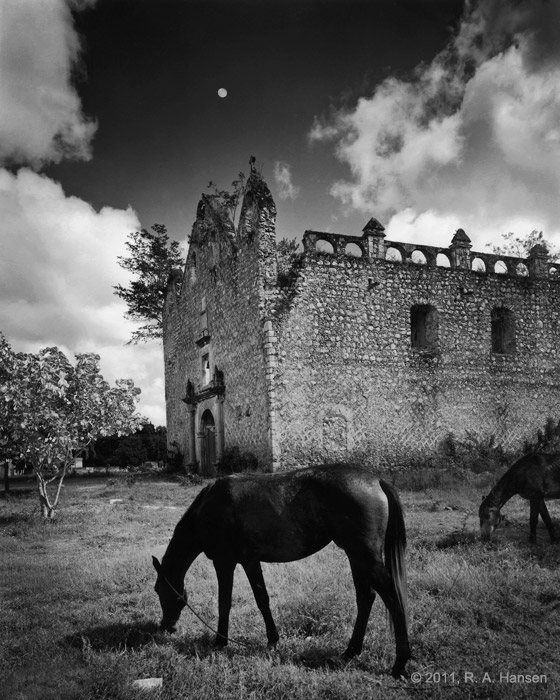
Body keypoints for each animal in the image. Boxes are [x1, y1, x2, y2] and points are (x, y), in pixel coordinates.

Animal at [153, 464, 412, 680]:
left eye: (158, 590)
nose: (166, 627)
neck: (210, 507)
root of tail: (376, 480)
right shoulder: (249, 561)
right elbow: (262, 599)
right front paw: (272, 640)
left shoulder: (224, 562)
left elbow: (224, 602)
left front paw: (220, 641)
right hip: (356, 556)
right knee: (365, 598)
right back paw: (350, 652)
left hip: (365, 557)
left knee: (392, 598)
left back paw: (399, 664)